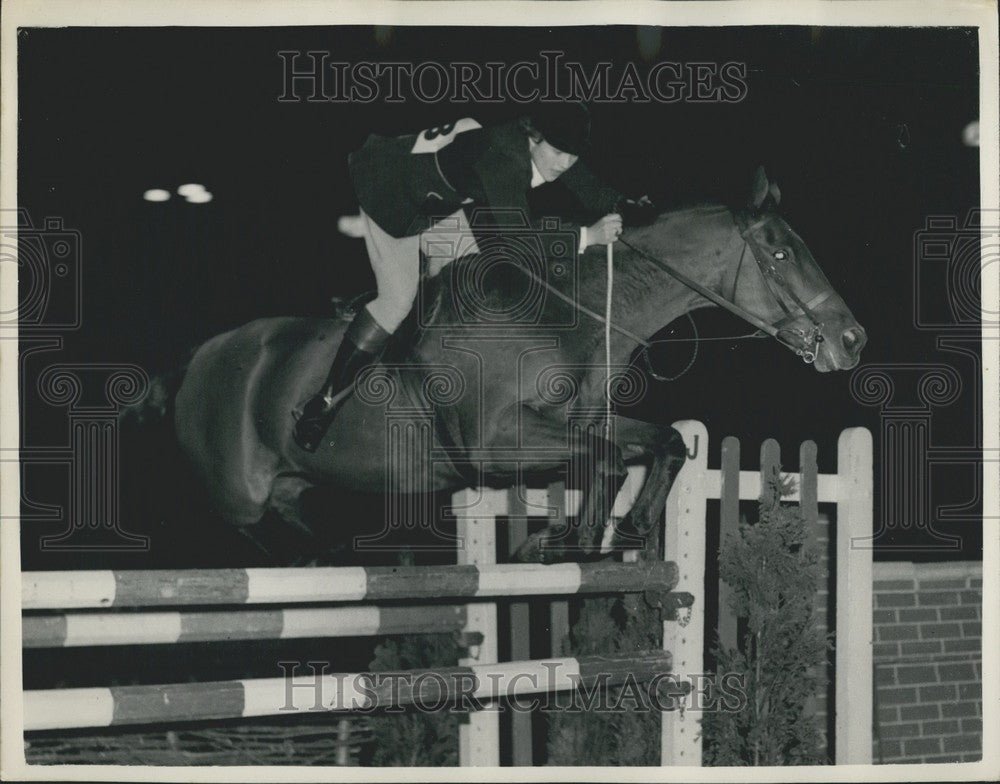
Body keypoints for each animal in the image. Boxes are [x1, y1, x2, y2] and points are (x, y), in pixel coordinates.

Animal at [160, 168, 864, 564]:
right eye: (780, 254)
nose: (852, 340)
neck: (569, 314)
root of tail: (198, 359)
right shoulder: (495, 443)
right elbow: (608, 459)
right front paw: (564, 540)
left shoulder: (582, 421)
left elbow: (659, 442)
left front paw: (623, 533)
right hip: (235, 497)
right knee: (253, 532)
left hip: (290, 483)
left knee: (290, 515)